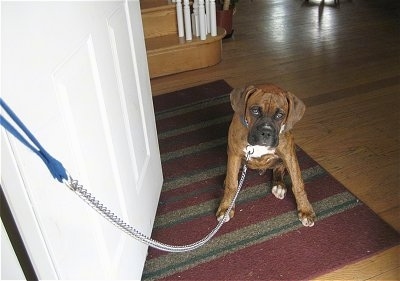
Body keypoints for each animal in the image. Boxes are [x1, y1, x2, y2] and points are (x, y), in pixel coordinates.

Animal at [216, 84, 316, 226]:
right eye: (255, 111)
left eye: (280, 115)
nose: (266, 132)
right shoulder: (234, 154)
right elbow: (232, 185)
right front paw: (226, 208)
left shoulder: (289, 155)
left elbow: (298, 184)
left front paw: (305, 210)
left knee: (278, 169)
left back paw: (279, 185)